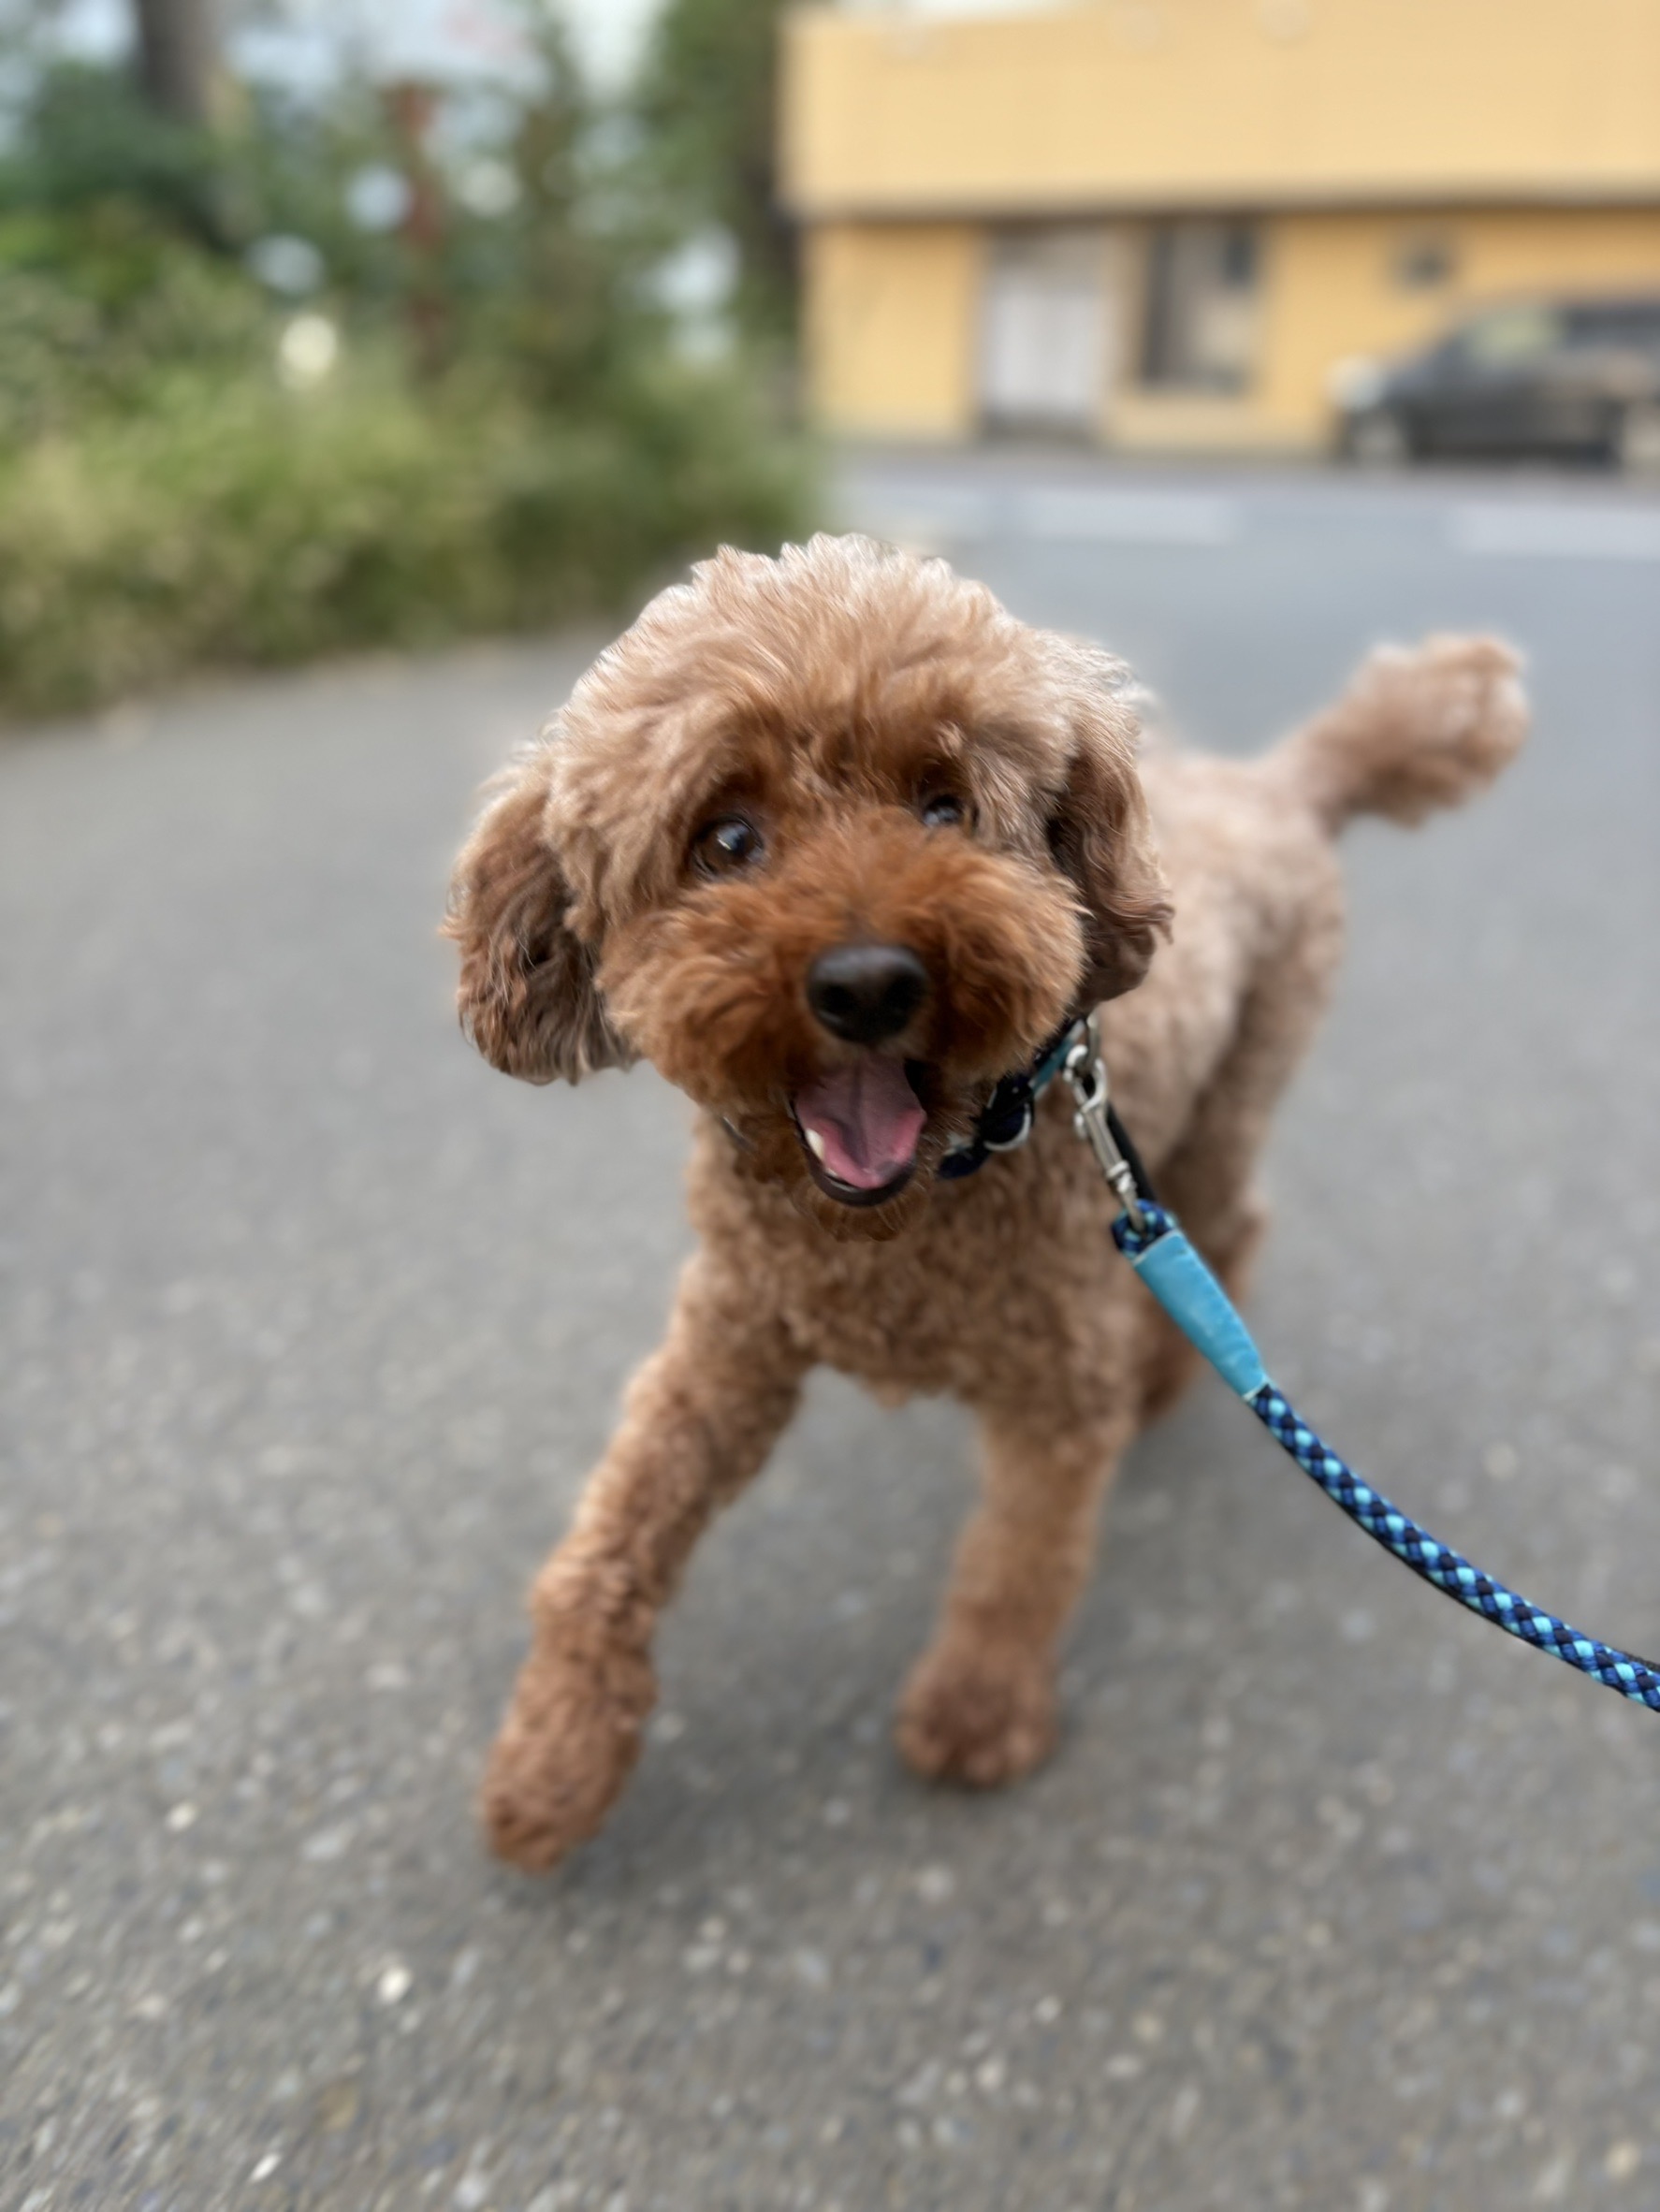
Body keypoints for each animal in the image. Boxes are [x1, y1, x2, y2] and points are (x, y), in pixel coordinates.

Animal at [445, 532, 1526, 1872]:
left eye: (943, 803)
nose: (867, 982)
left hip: (1230, 1093)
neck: (915, 1203)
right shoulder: (730, 1346)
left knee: (1219, 1229)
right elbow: (609, 1542)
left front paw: (977, 1710)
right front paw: (553, 1759)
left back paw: (1163, 1377)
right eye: (726, 837)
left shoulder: (1053, 1389)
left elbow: (1018, 1559)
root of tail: (1280, 781)